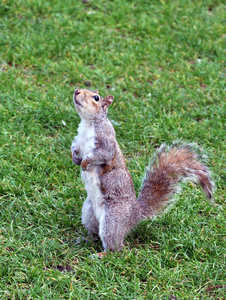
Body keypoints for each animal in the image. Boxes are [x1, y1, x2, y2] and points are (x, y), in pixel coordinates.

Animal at [70, 88, 214, 253]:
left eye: (96, 98)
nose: (77, 91)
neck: (88, 124)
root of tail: (135, 215)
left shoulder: (106, 142)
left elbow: (102, 155)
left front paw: (85, 163)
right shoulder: (78, 139)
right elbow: (74, 147)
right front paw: (75, 158)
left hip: (112, 219)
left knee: (116, 247)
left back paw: (103, 254)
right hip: (88, 211)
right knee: (95, 233)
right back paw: (86, 239)